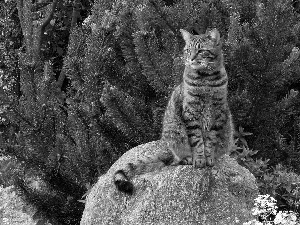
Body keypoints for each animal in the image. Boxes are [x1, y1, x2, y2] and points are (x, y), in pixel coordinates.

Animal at [113, 27, 233, 193]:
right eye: (188, 50)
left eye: (201, 51)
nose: (191, 59)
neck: (206, 80)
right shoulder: (190, 113)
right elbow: (197, 141)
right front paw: (199, 159)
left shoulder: (218, 113)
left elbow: (210, 140)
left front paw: (209, 158)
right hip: (175, 134)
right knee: (178, 158)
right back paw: (187, 158)